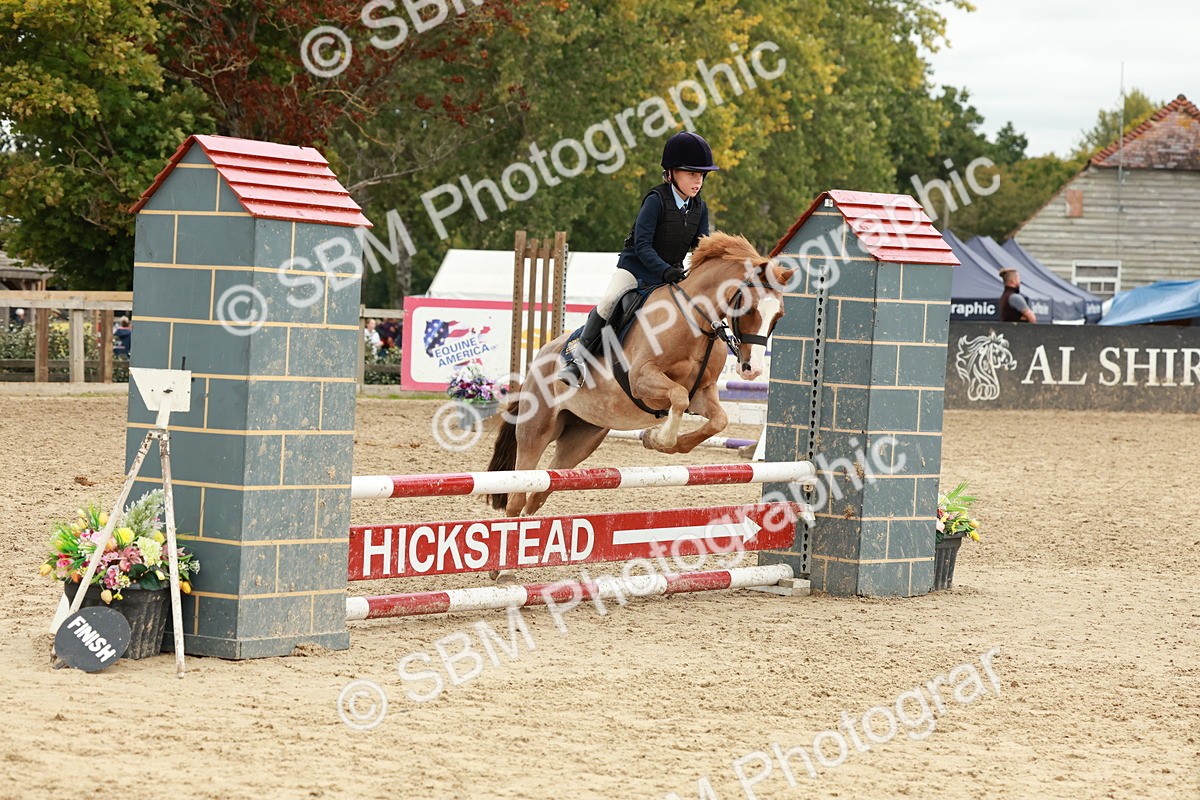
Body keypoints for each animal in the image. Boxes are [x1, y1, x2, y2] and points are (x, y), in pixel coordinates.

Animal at [486, 231, 794, 518]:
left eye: (778, 317)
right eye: (749, 308)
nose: (752, 369)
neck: (695, 320)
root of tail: (539, 358)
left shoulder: (703, 392)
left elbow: (718, 420)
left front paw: (666, 443)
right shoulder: (642, 380)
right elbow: (678, 397)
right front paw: (656, 438)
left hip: (583, 436)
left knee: (541, 490)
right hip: (536, 429)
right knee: (518, 494)